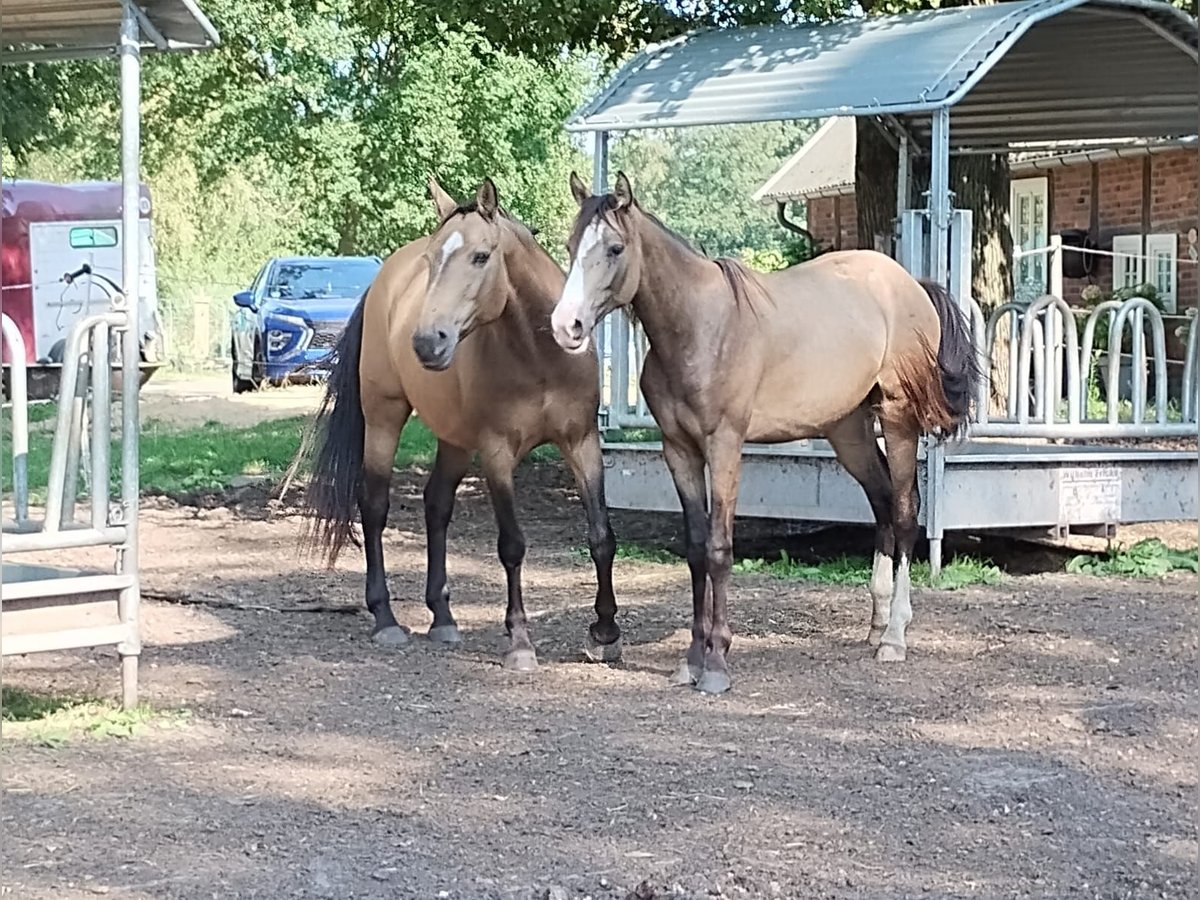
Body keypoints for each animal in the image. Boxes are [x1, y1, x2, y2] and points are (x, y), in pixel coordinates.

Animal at [295, 174, 624, 672]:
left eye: (481, 256)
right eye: (433, 259)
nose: (428, 342)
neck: (539, 356)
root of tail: (381, 285)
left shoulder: (582, 441)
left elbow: (601, 535)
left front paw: (605, 633)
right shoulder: (497, 454)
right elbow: (512, 545)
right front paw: (520, 641)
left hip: (452, 440)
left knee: (436, 506)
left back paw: (443, 618)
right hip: (384, 418)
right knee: (374, 507)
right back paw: (386, 619)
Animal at [549, 174, 979, 696]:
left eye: (614, 248)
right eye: (571, 245)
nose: (565, 326)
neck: (699, 328)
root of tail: (911, 286)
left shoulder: (725, 446)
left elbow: (719, 548)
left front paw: (716, 662)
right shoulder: (680, 450)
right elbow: (696, 548)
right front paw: (691, 659)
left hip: (897, 420)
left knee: (903, 511)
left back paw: (894, 635)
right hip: (848, 431)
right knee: (880, 502)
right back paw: (876, 625)